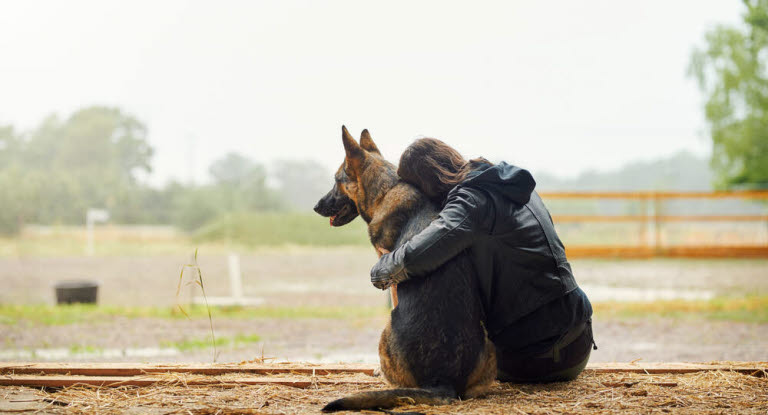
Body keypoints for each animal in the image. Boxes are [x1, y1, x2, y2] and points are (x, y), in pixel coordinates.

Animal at [314, 127, 498, 412]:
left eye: (336, 180)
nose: (316, 206)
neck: (387, 190)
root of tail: (442, 380)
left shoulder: (391, 278)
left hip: (385, 333)